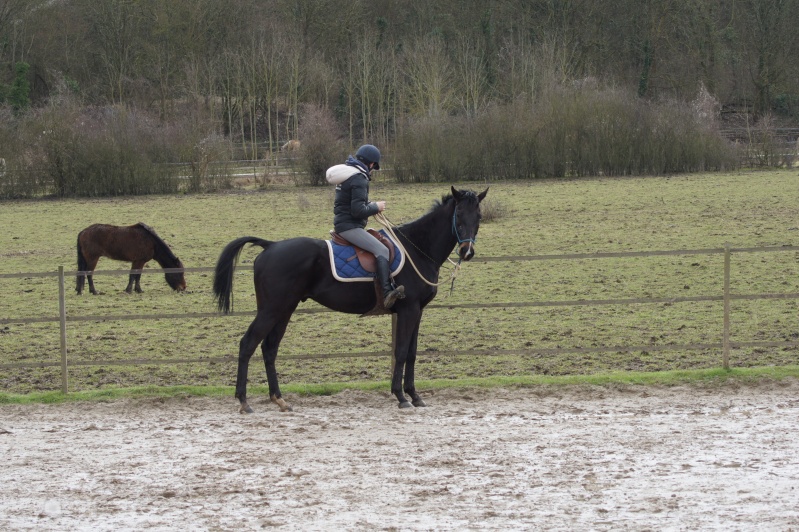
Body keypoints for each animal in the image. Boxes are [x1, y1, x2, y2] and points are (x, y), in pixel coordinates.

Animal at [214, 185, 488, 414]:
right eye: (459, 214)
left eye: (478, 216)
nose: (467, 251)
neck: (417, 248)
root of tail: (270, 246)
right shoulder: (408, 310)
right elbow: (400, 352)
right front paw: (401, 397)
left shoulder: (417, 312)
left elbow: (411, 353)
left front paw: (414, 395)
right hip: (271, 310)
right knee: (247, 344)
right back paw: (244, 401)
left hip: (284, 310)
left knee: (269, 349)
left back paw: (279, 399)